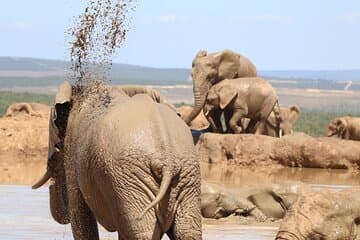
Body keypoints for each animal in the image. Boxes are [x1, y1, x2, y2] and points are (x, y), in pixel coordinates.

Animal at [32, 81, 201, 240]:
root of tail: (166, 160)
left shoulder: (72, 147)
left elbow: (80, 215)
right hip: (185, 174)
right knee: (186, 232)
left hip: (129, 181)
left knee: (140, 232)